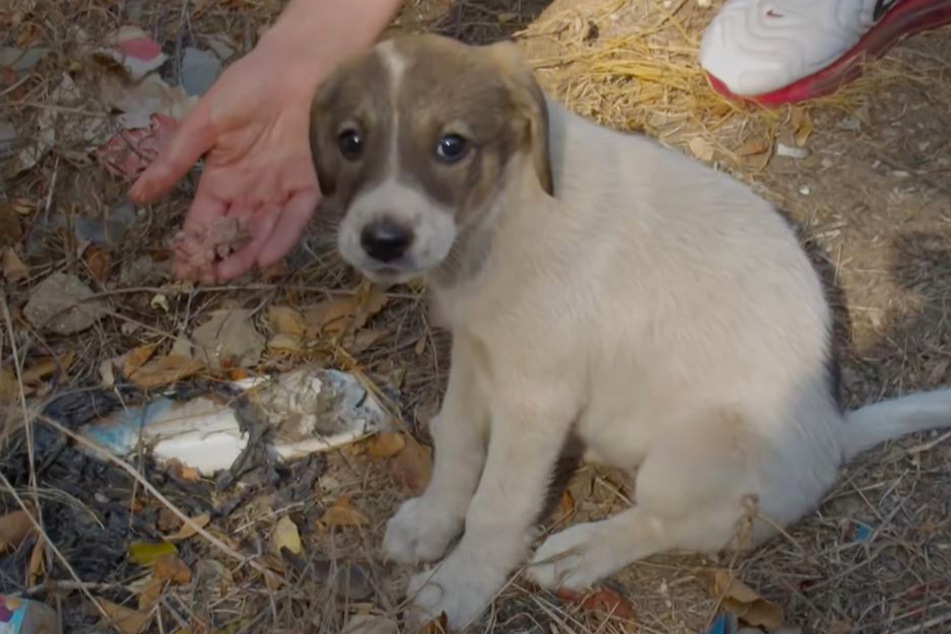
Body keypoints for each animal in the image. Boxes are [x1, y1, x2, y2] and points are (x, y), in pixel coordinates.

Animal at [310, 34, 951, 628]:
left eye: (452, 146)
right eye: (350, 141)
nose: (382, 240)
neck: (502, 212)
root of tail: (835, 430)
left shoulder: (535, 396)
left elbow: (497, 504)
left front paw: (458, 586)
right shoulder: (477, 351)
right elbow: (458, 443)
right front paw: (431, 522)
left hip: (696, 450)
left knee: (671, 521)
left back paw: (581, 552)